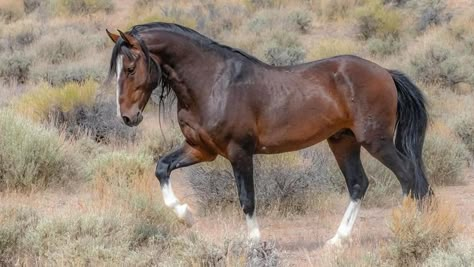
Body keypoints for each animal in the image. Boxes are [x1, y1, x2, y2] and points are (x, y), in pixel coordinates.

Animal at [105, 22, 432, 247]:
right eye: (118, 70)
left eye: (131, 68)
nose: (128, 117)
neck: (213, 83)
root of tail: (385, 73)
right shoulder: (200, 149)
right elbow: (162, 168)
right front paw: (186, 216)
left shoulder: (239, 152)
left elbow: (247, 199)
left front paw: (253, 242)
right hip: (343, 140)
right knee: (359, 184)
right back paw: (337, 240)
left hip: (375, 141)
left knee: (407, 176)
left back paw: (406, 228)